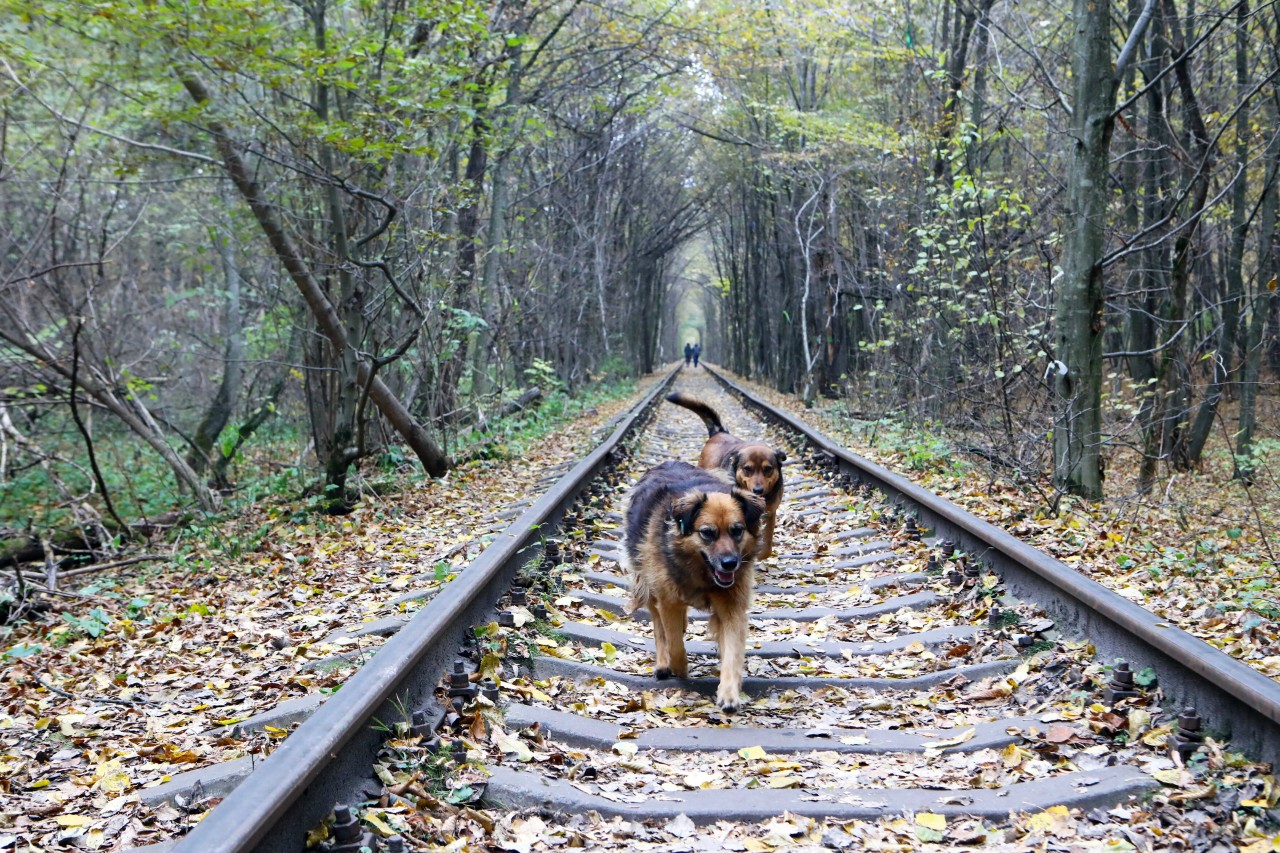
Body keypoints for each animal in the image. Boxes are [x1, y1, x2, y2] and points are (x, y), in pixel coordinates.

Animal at [624, 461, 762, 706]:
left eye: (737, 530)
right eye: (707, 533)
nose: (730, 564)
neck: (702, 574)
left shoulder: (732, 606)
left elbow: (733, 651)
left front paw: (729, 694)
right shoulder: (668, 601)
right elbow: (674, 642)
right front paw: (679, 668)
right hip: (647, 580)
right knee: (658, 624)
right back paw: (663, 664)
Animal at [665, 391, 783, 558]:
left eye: (768, 469)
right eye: (747, 469)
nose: (758, 490)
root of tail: (719, 432)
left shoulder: (771, 513)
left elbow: (767, 544)